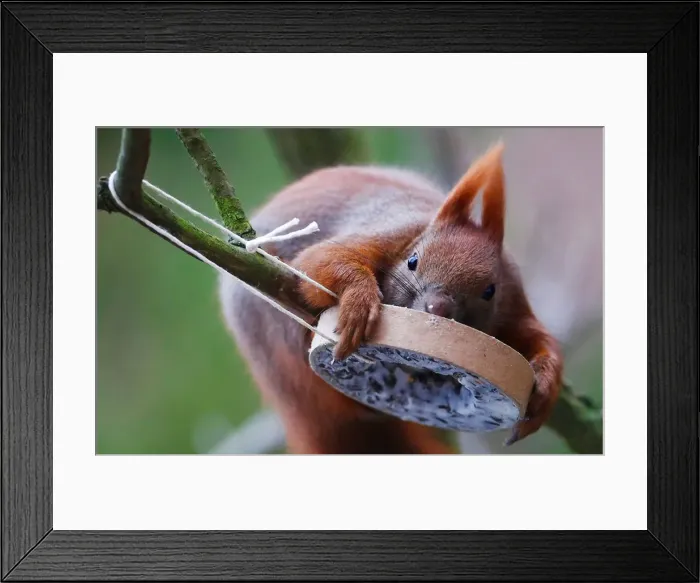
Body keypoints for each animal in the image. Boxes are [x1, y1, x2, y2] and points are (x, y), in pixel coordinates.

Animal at [218, 142, 563, 454]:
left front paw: (547, 382)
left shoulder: (513, 301)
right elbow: (319, 261)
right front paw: (359, 302)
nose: (437, 307)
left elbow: (536, 339)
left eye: (489, 291)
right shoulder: (387, 233)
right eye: (413, 261)